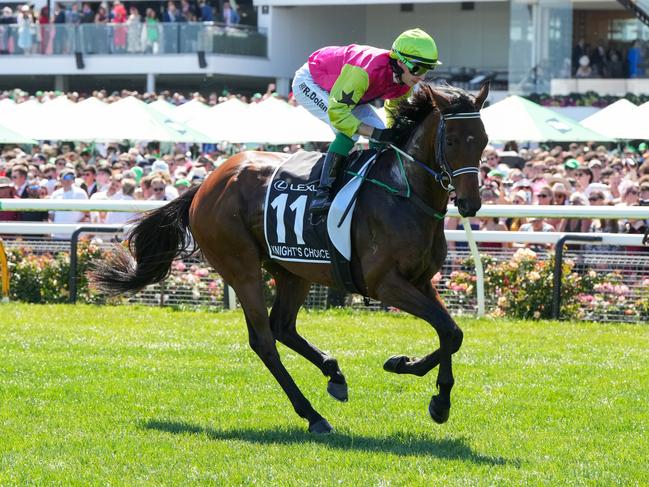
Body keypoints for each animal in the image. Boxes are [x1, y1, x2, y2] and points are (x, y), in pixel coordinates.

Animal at [90, 83, 486, 434]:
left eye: (481, 140)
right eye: (452, 141)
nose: (470, 204)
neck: (404, 194)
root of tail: (205, 184)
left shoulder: (420, 280)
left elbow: (452, 332)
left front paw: (414, 375)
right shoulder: (385, 283)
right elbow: (447, 330)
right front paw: (434, 396)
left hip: (292, 269)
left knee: (282, 326)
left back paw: (334, 374)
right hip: (242, 268)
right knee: (264, 341)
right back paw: (312, 415)